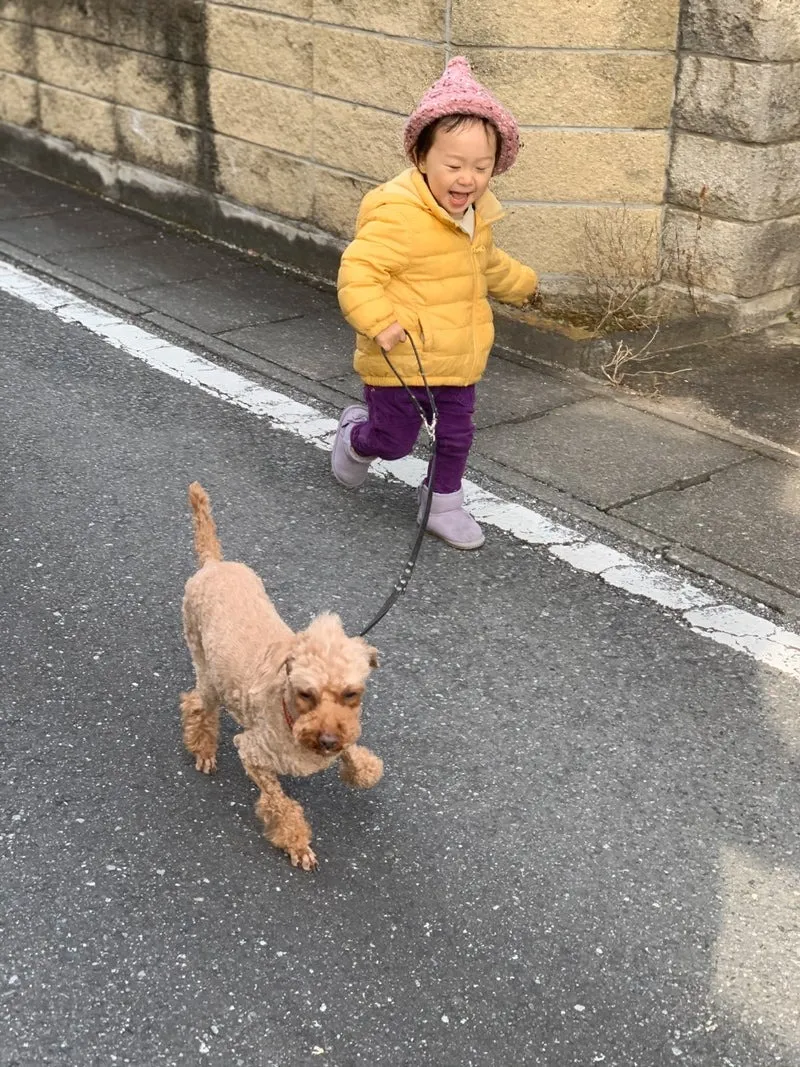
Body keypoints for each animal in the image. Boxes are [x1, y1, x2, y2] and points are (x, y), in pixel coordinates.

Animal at [180, 484, 384, 866]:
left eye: (351, 694)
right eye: (306, 694)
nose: (328, 740)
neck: (289, 714)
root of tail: (214, 563)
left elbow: (360, 762)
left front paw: (358, 771)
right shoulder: (254, 754)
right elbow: (281, 803)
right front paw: (297, 843)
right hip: (203, 658)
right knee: (198, 705)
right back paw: (203, 748)